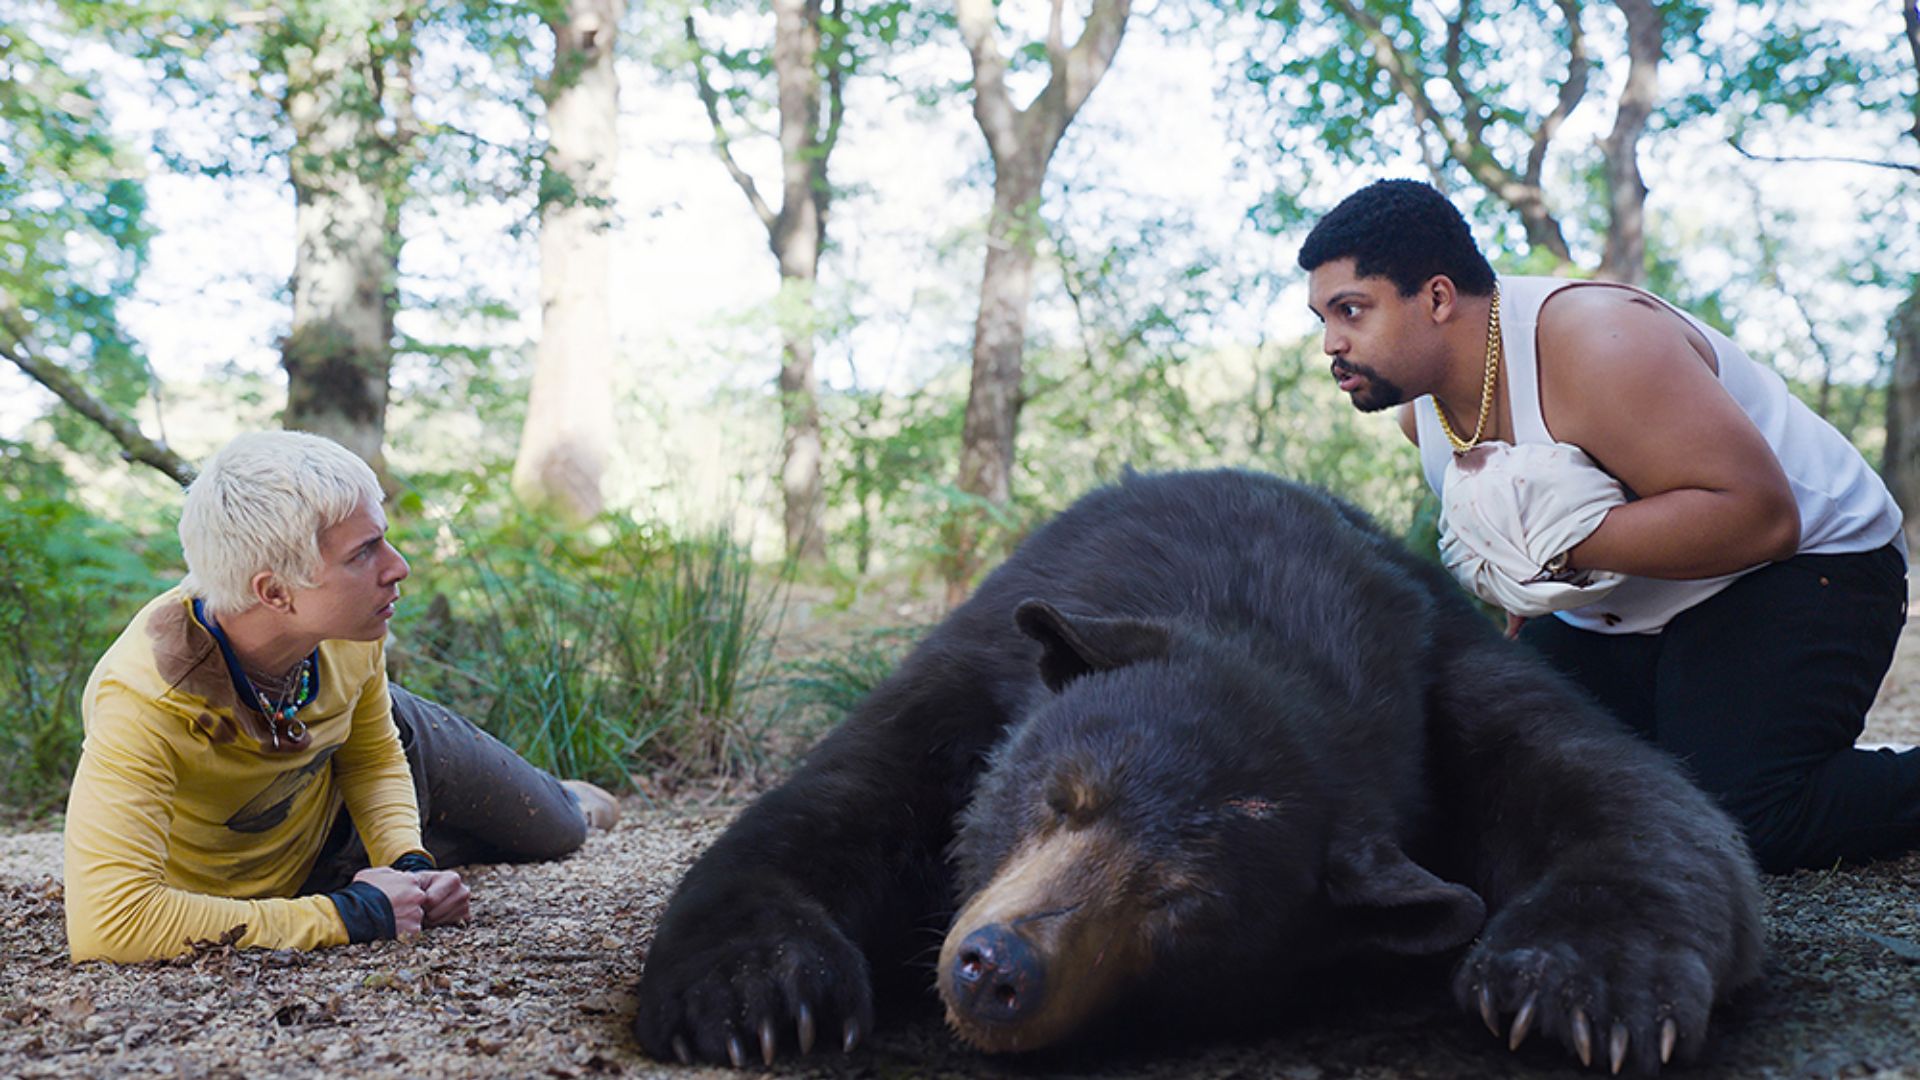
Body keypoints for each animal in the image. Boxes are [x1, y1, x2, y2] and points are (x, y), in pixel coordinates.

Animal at [637, 468, 1758, 1068]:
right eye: (1058, 800)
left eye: (1181, 902)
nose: (997, 968)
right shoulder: (985, 664)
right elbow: (839, 803)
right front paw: (759, 994)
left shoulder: (1450, 667)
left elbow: (1635, 800)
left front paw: (1581, 986)